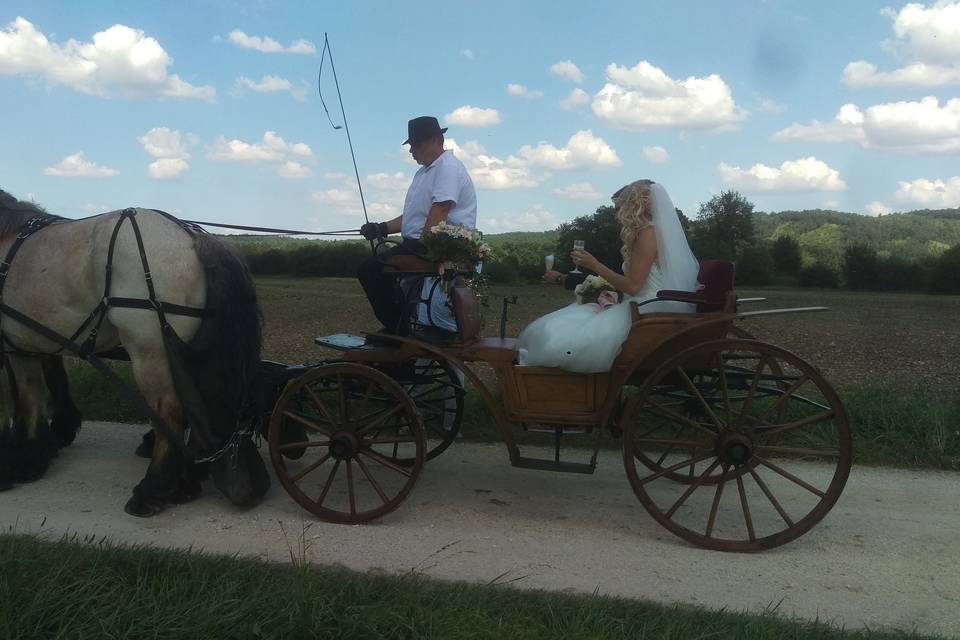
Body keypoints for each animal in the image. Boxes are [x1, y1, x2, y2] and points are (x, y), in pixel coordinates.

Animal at [0, 189, 264, 516]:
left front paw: (22, 460)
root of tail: (190, 235)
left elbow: (25, 399)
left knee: (169, 411)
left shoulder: (17, 347)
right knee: (195, 406)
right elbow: (42, 385)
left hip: (149, 350)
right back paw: (185, 483)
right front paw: (47, 443)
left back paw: (154, 488)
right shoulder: (34, 340)